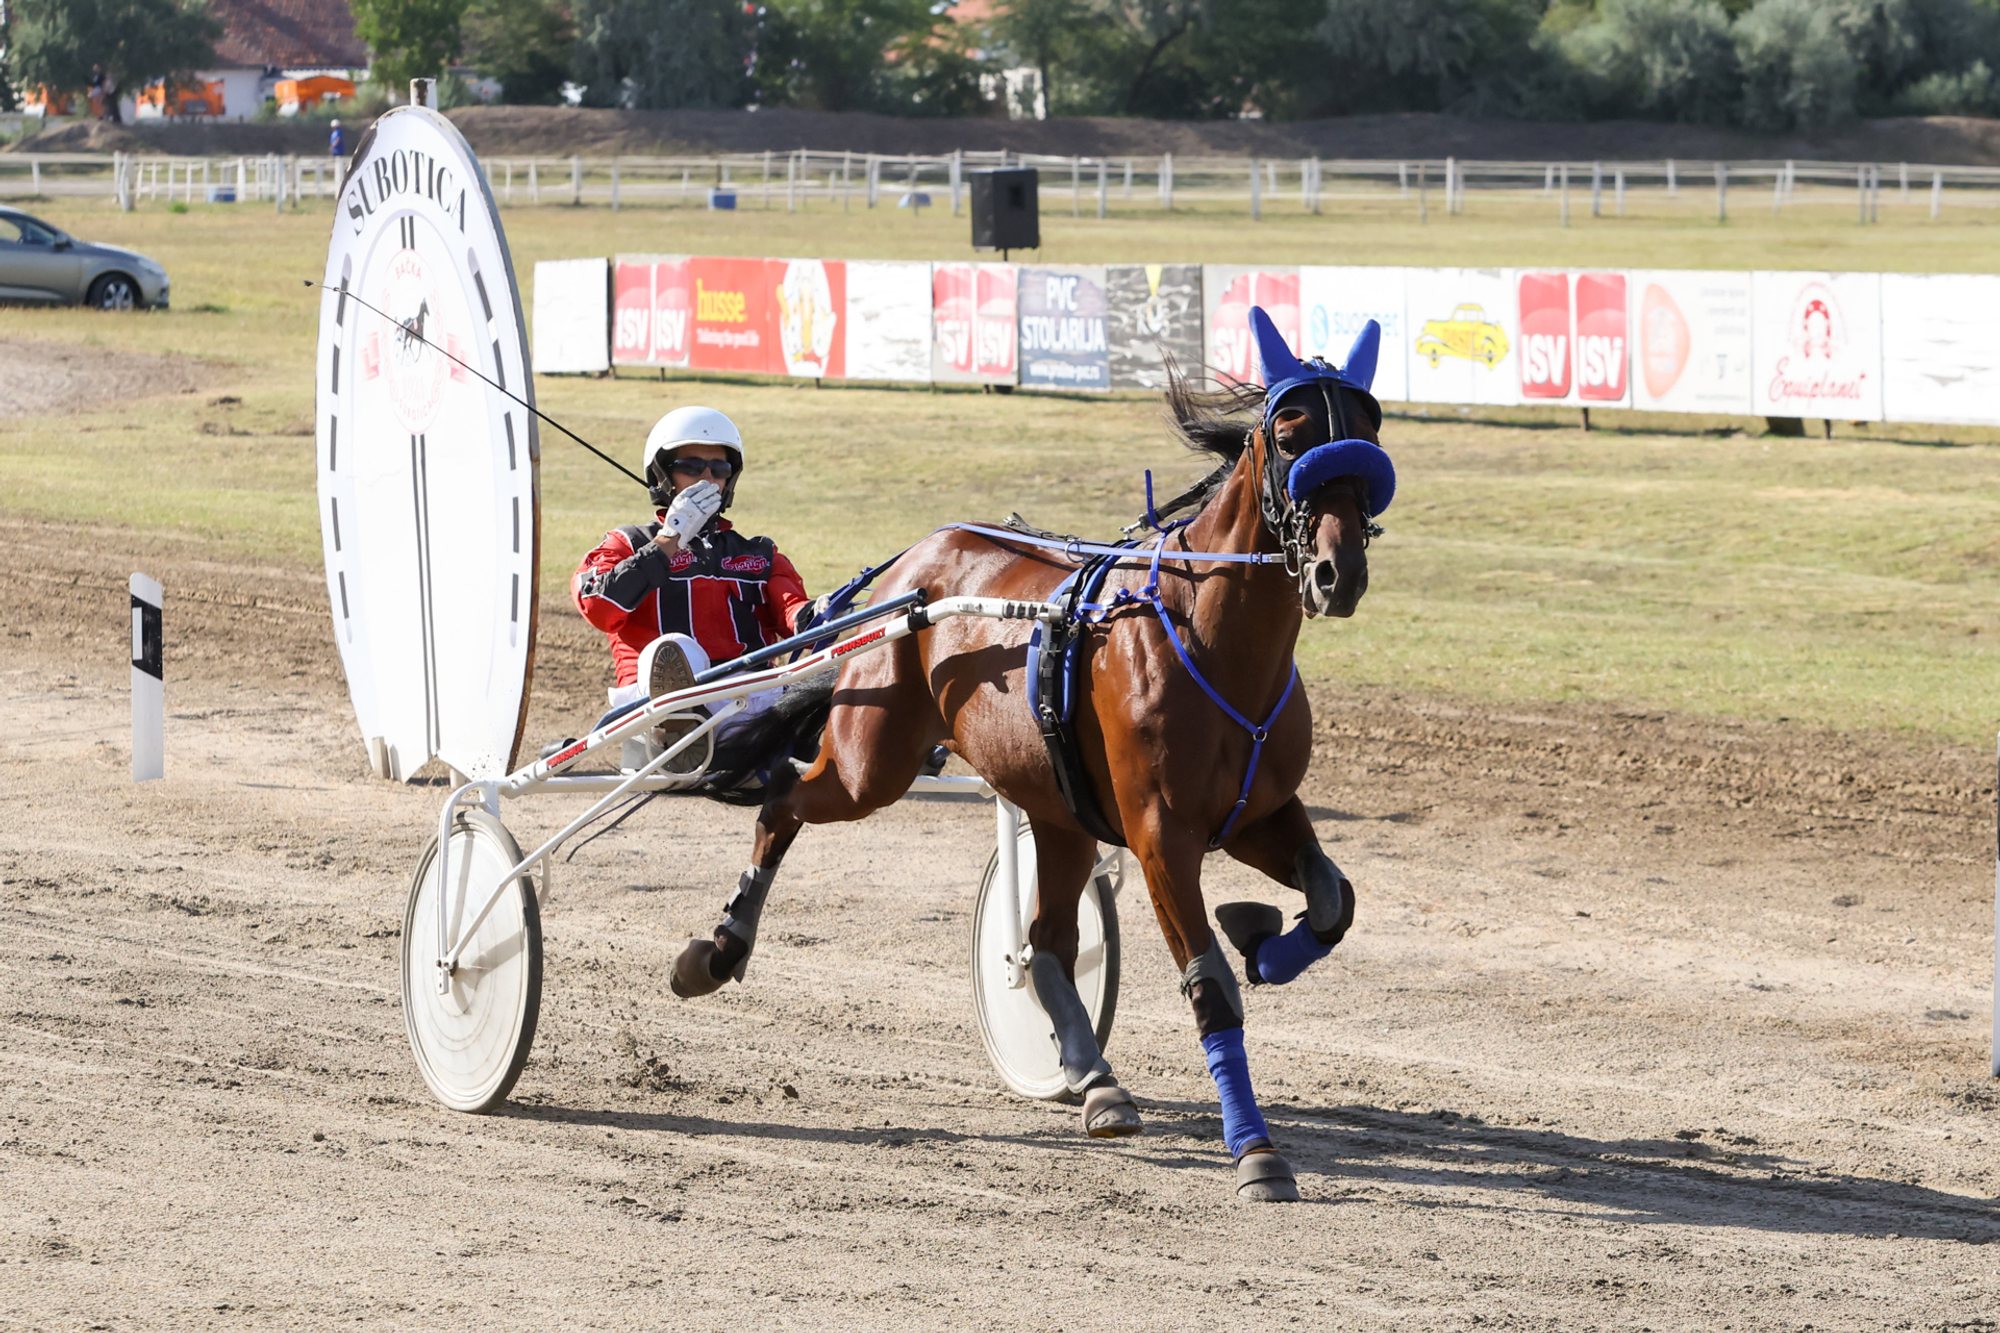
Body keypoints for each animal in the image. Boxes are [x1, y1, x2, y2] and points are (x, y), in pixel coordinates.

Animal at [671, 307, 1396, 1202]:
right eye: (1292, 434)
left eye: (1368, 432)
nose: (1338, 572)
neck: (1211, 636)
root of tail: (912, 565)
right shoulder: (1163, 837)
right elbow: (1211, 987)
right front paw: (1256, 1150)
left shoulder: (1260, 812)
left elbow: (1332, 901)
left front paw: (1264, 938)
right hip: (873, 761)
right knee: (783, 802)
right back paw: (717, 950)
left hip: (1057, 809)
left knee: (1045, 942)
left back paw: (1096, 1077)